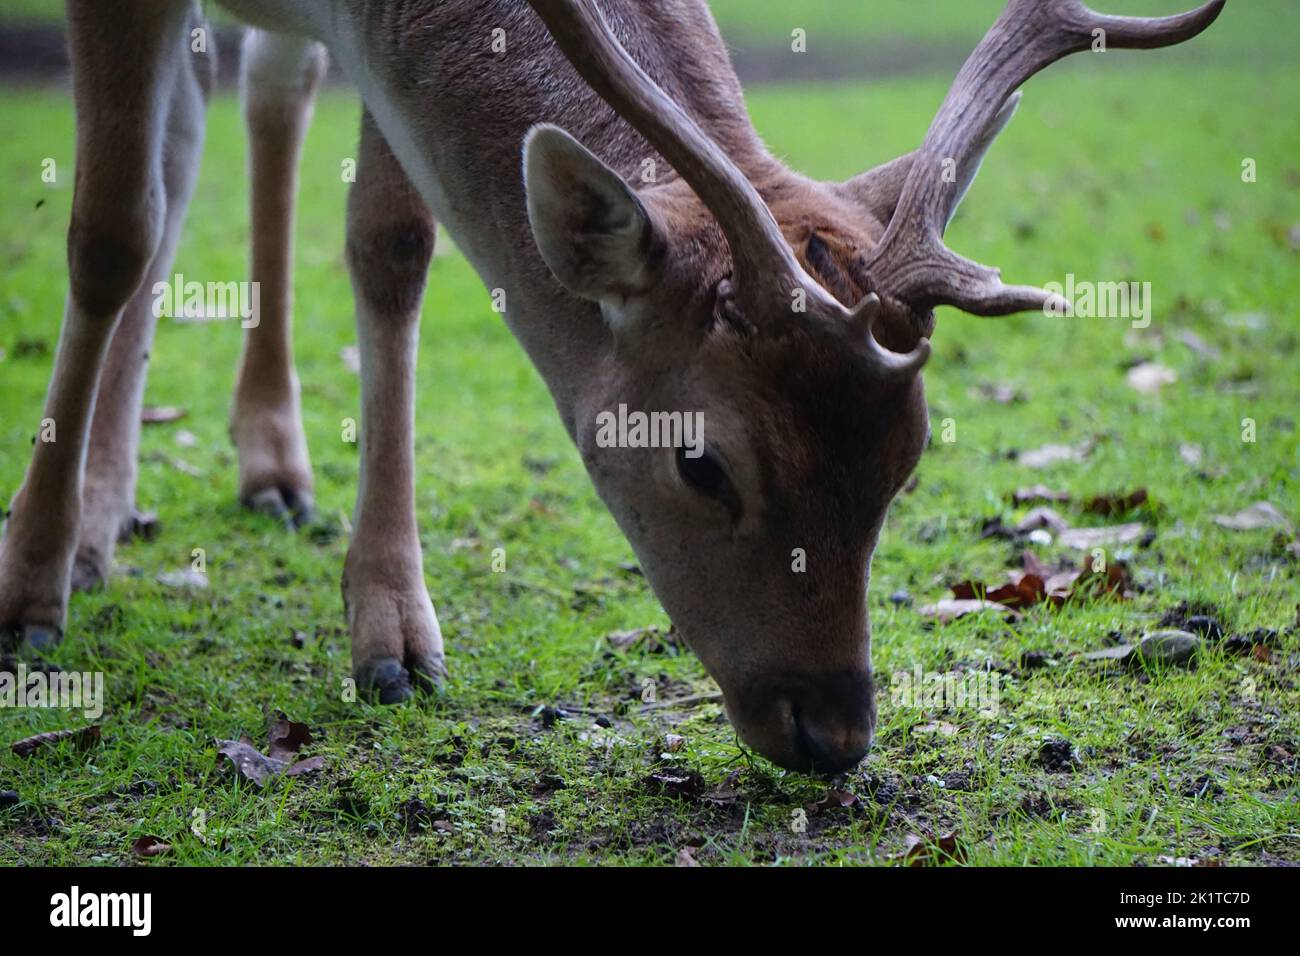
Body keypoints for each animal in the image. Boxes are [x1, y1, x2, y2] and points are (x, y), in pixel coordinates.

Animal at [0, 0, 1216, 780]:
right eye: (702, 461)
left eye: (906, 461)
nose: (832, 733)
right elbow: (109, 233)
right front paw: (26, 597)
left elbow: (391, 246)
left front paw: (393, 638)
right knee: (166, 175)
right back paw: (92, 530)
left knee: (254, 98)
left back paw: (258, 473)